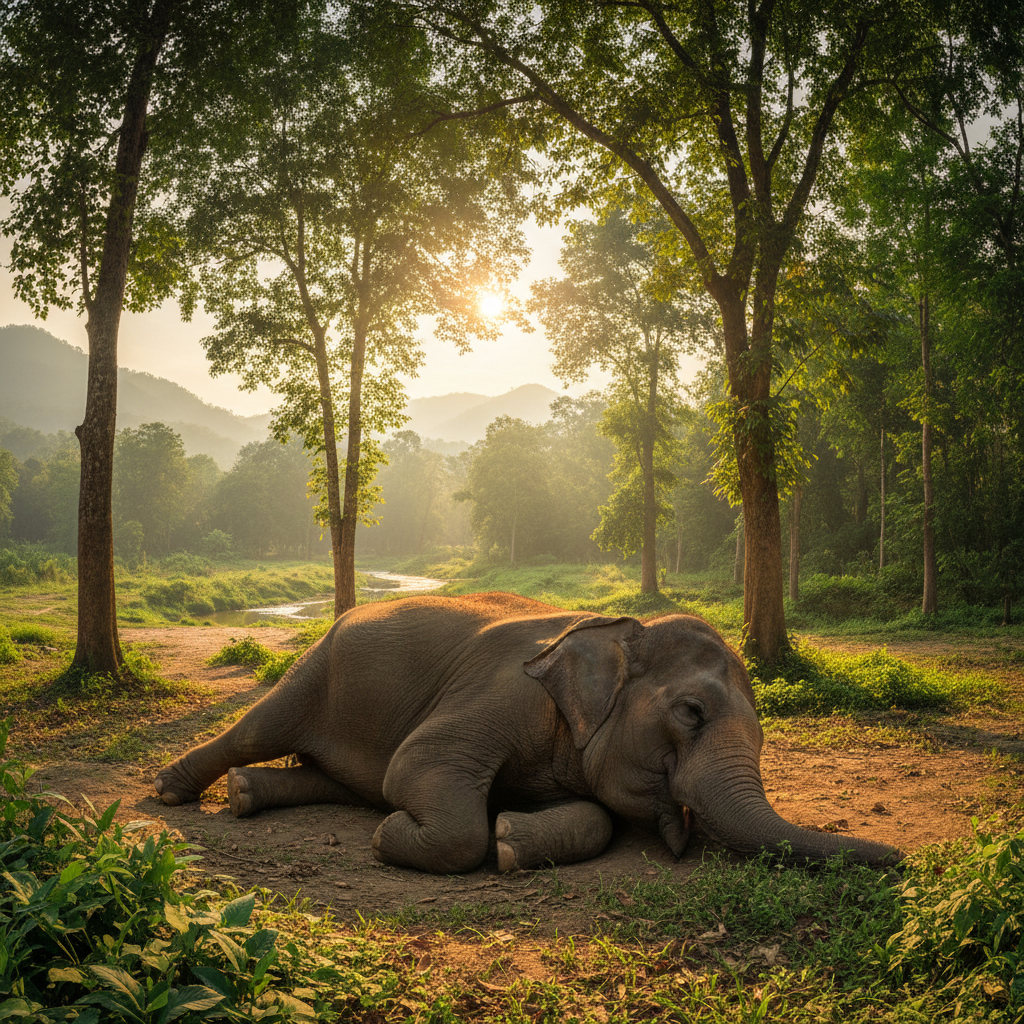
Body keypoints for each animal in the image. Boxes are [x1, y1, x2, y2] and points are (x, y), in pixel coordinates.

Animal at [154, 592, 901, 873]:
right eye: (690, 712)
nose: (903, 859)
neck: (614, 626)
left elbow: (597, 816)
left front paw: (511, 836)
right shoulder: (501, 694)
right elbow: (416, 768)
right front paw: (389, 836)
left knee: (339, 777)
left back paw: (245, 795)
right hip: (316, 666)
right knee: (259, 731)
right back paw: (171, 790)